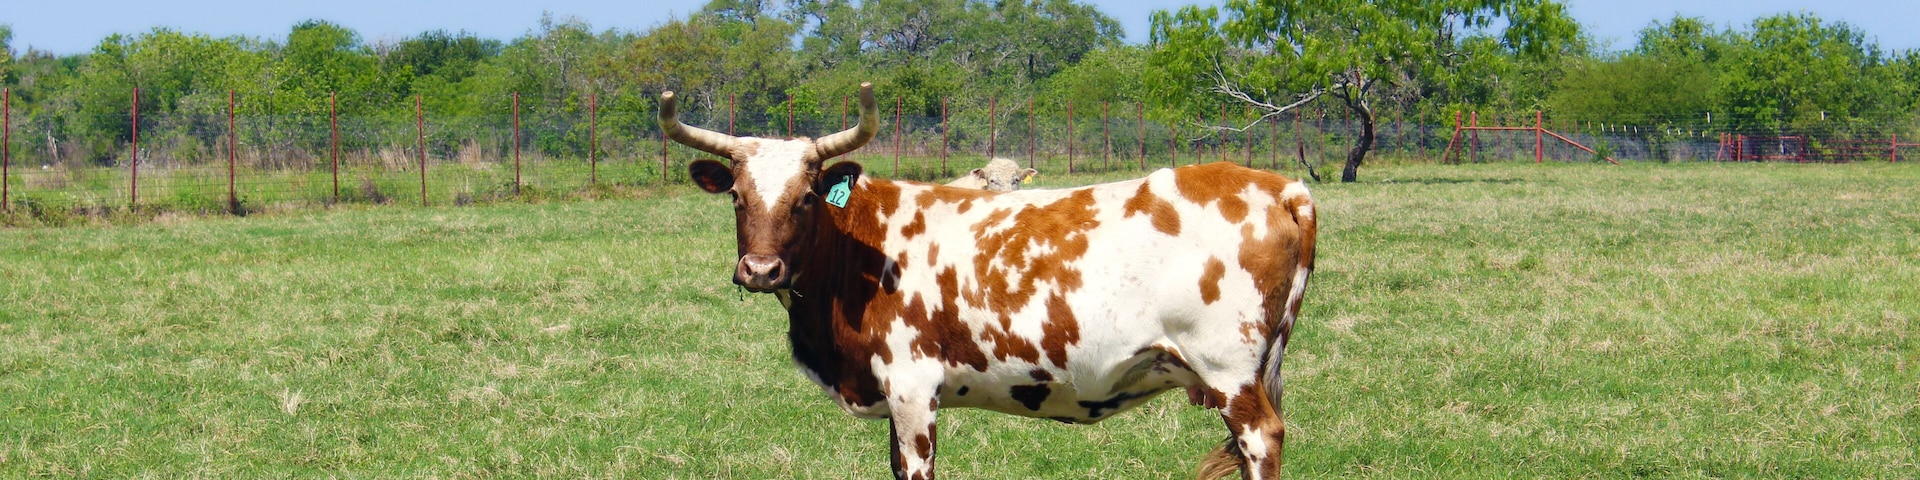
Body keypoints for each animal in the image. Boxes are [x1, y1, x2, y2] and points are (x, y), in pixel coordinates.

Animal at [661, 83, 1317, 480]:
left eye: (804, 198)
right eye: (738, 197)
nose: (761, 269)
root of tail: (1281, 185)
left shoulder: (913, 391)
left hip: (1230, 373)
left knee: (1263, 440)